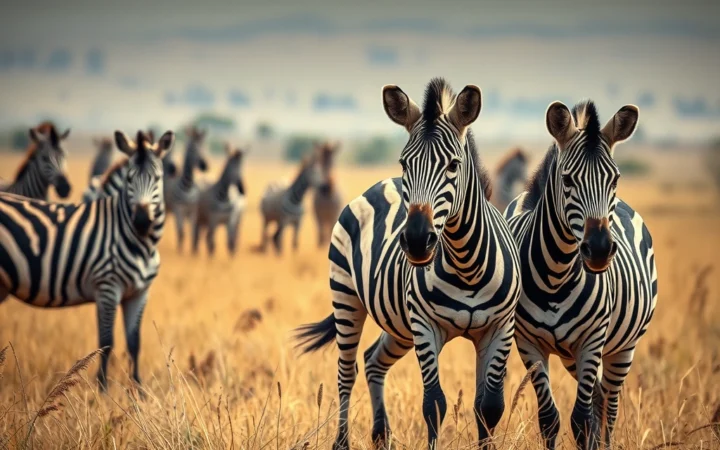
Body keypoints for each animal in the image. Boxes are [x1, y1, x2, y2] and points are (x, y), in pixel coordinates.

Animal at [0, 130, 175, 391]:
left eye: (157, 178)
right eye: (130, 179)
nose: (143, 220)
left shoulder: (139, 292)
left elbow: (134, 343)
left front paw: (138, 390)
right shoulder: (107, 288)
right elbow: (106, 342)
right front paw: (102, 389)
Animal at [295, 78, 522, 449]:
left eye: (453, 165)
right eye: (405, 163)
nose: (416, 240)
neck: (467, 265)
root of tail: (379, 184)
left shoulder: (499, 328)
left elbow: (488, 405)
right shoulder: (424, 325)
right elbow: (434, 403)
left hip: (398, 325)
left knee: (373, 361)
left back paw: (380, 435)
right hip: (347, 297)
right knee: (346, 372)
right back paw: (342, 442)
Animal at [503, 100, 657, 449]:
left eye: (614, 179)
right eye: (568, 179)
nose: (599, 249)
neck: (556, 275)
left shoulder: (592, 339)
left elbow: (581, 420)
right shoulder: (528, 343)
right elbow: (549, 418)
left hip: (622, 348)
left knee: (609, 406)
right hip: (572, 355)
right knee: (599, 398)